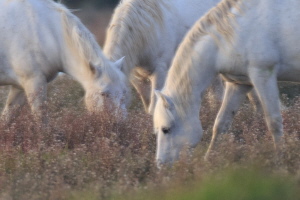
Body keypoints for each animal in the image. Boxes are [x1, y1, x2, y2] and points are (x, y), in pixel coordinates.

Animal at [154, 0, 300, 166]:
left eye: (166, 129)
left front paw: (280, 160)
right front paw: (208, 160)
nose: (160, 165)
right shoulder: (238, 84)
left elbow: (274, 122)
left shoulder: (263, 75)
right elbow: (220, 123)